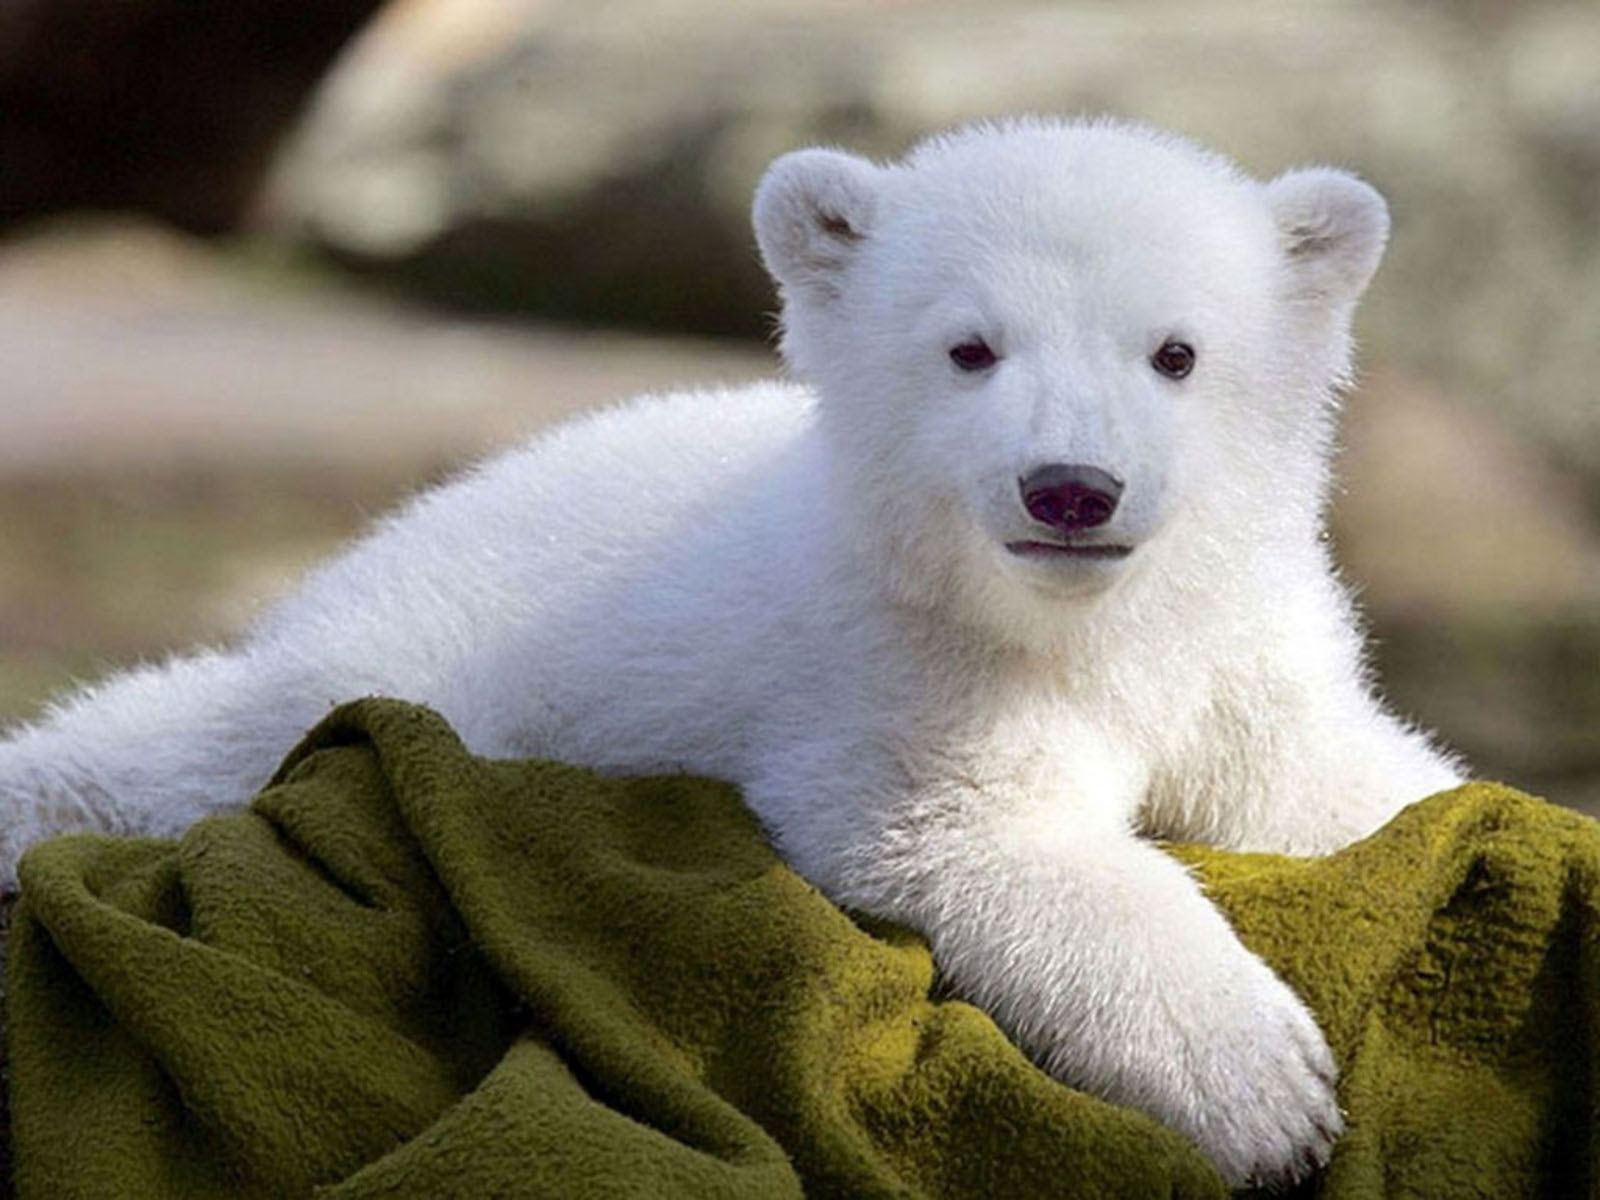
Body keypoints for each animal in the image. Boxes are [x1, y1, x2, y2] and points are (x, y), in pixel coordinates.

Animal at [0, 117, 1461, 1187]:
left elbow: (1341, 780)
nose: (1070, 489)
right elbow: (983, 838)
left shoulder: (1239, 649)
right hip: (410, 655)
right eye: (969, 348)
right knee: (198, 736)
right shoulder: (897, 672)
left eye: (1176, 354)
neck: (1081, 625)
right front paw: (1262, 1090)